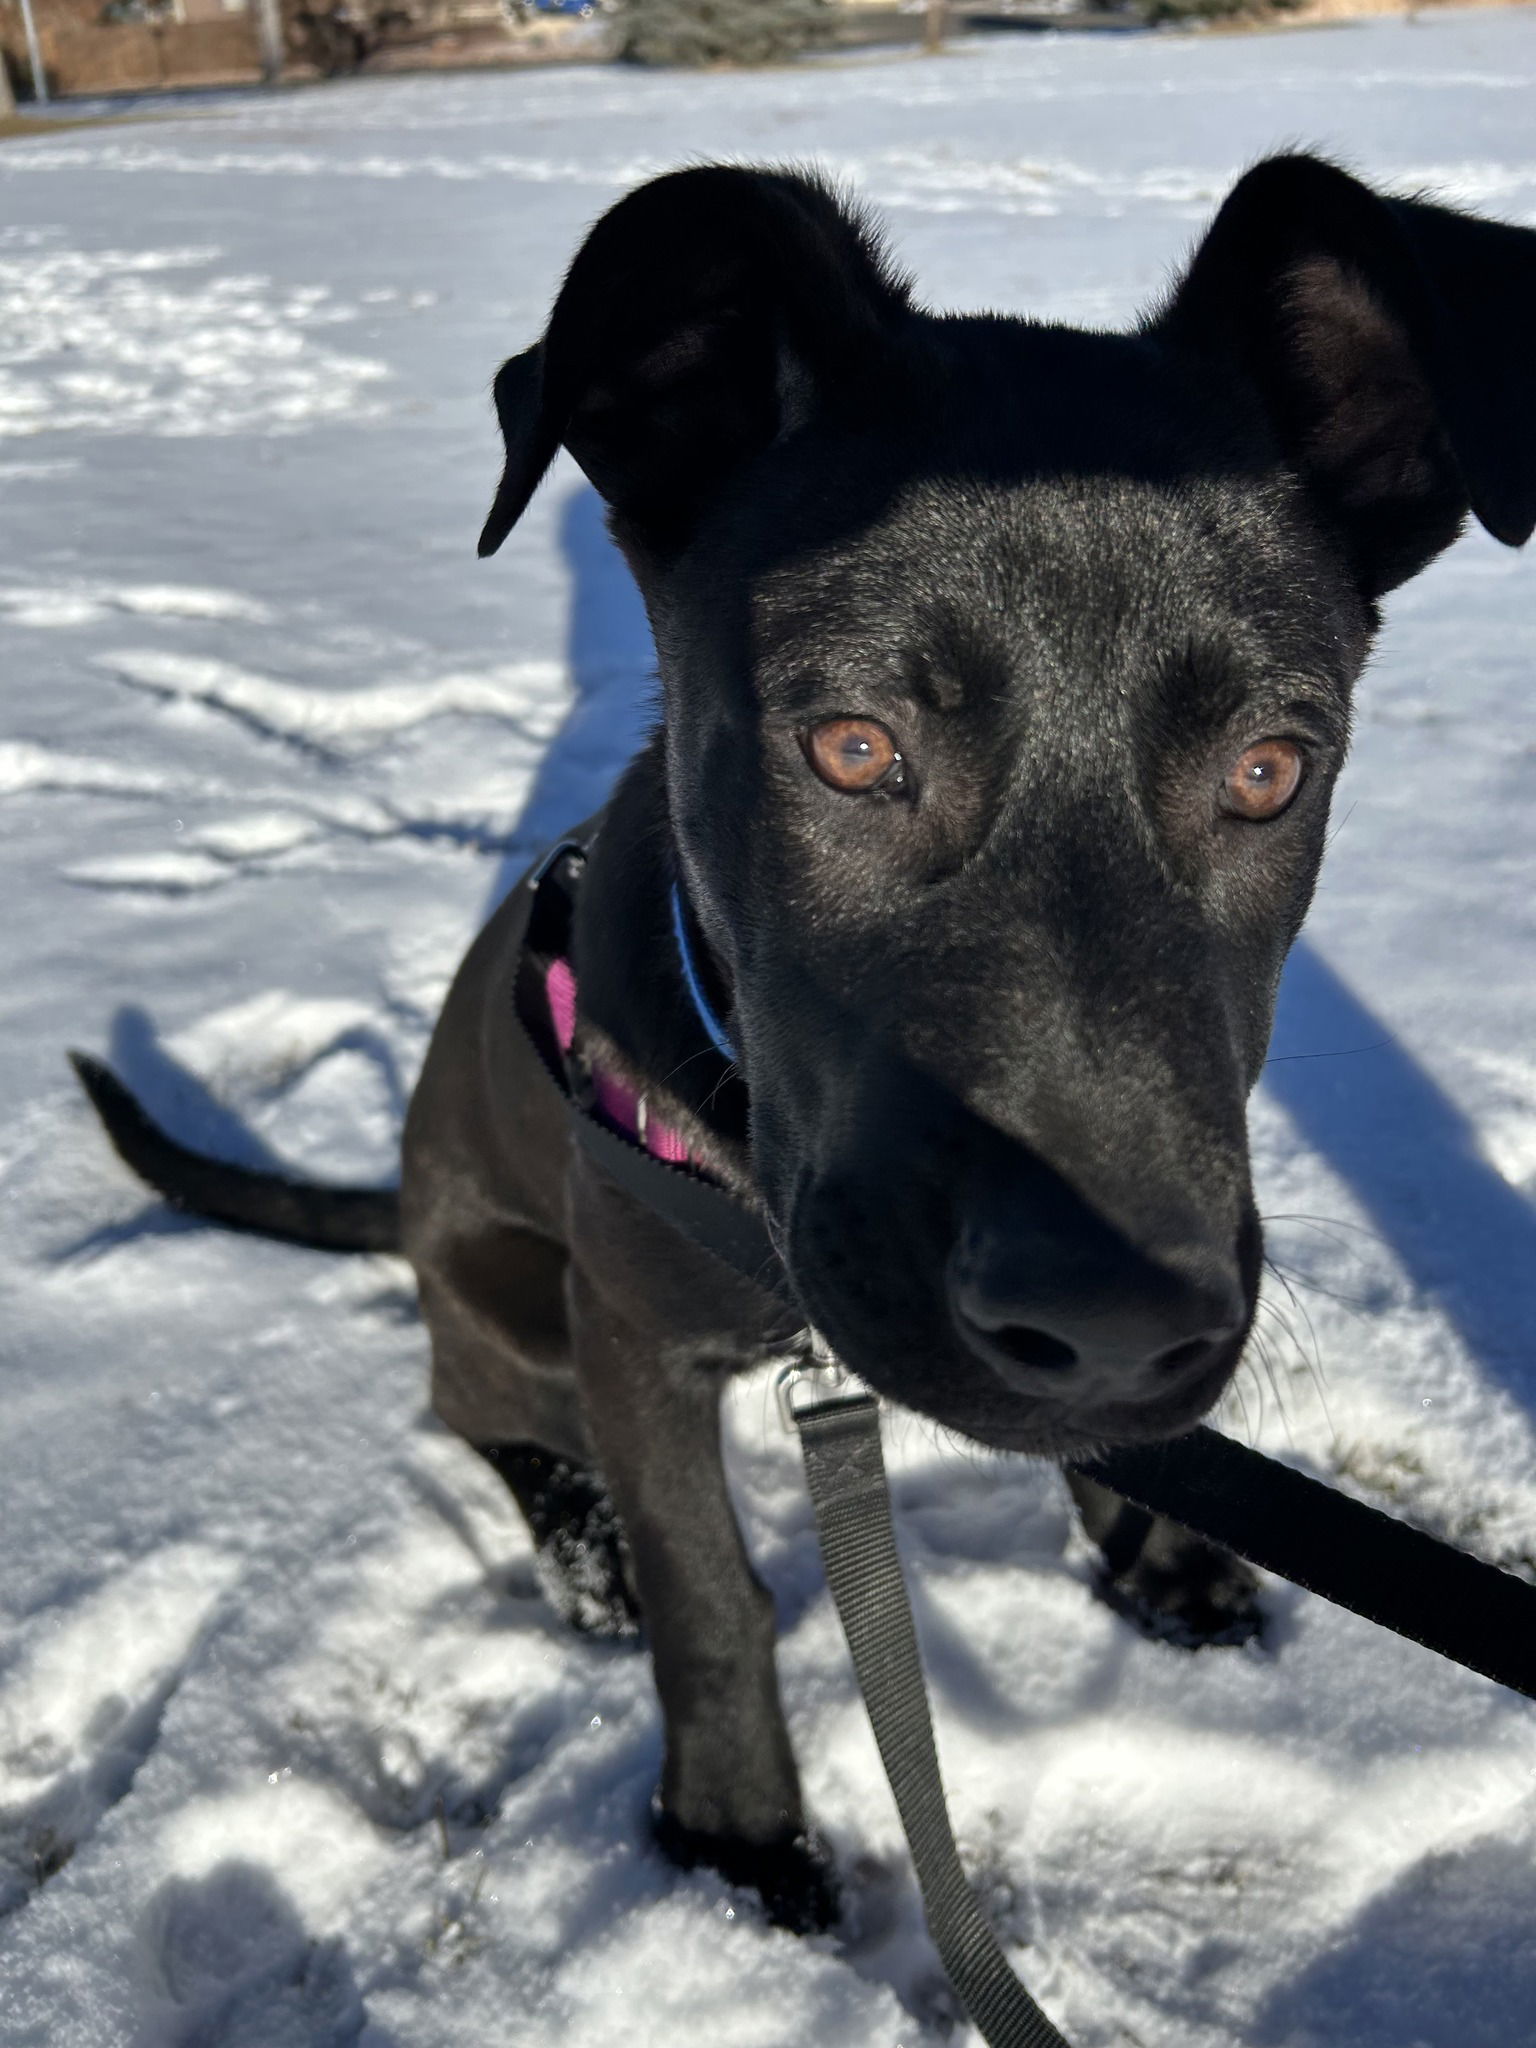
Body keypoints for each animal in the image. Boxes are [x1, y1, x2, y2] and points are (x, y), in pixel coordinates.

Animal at [72, 159, 1536, 1933]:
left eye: (1270, 768)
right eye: (848, 745)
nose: (1109, 1322)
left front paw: (1161, 1543)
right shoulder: (630, 1326)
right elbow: (712, 1592)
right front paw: (735, 1836)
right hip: (506, 1287)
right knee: (482, 1413)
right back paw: (584, 1559)